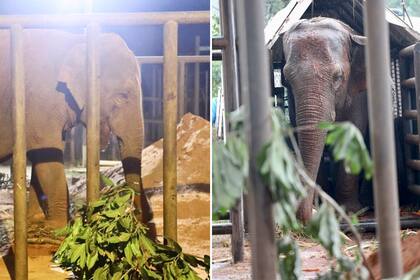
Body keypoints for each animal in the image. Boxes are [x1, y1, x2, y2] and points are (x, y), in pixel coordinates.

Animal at [0, 29, 154, 234]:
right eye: (122, 96)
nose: (144, 216)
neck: (77, 41)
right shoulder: (41, 99)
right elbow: (47, 156)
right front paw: (59, 228)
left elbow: (42, 158)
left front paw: (36, 222)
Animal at [280, 17, 370, 223]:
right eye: (287, 79)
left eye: (338, 77)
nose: (311, 212)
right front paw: (322, 205)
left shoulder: (357, 96)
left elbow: (352, 135)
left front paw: (349, 212)